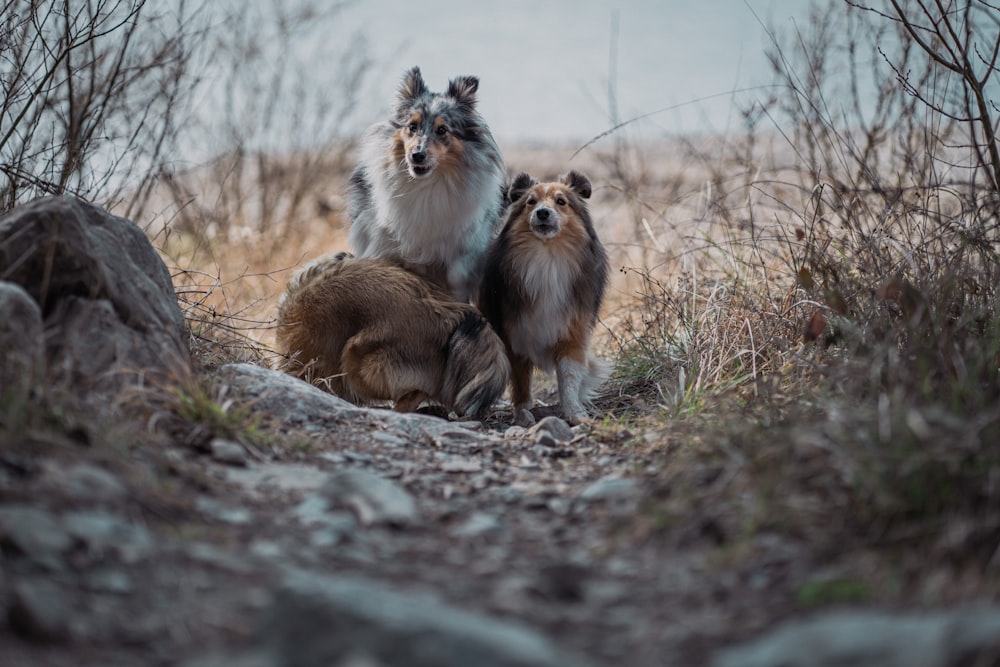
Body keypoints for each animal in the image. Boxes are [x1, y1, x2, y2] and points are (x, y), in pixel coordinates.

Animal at [478, 170, 608, 426]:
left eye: (561, 201)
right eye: (531, 202)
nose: (543, 213)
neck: (547, 259)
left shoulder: (572, 331)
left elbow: (568, 376)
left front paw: (575, 412)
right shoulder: (514, 336)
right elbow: (521, 381)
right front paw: (522, 412)